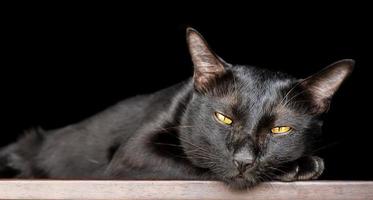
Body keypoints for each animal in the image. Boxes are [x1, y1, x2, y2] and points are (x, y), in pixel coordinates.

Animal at [0, 28, 352, 189]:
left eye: (280, 129)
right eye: (223, 118)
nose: (243, 160)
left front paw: (304, 164)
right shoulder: (134, 154)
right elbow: (197, 165)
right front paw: (298, 167)